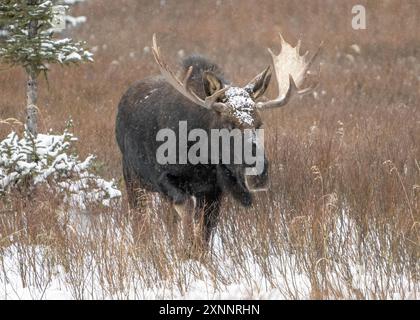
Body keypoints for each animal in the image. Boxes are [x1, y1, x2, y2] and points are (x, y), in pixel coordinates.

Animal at [116, 33, 320, 245]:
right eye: (228, 124)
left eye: (259, 124)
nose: (258, 175)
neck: (201, 158)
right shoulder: (164, 178)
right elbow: (187, 215)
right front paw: (185, 246)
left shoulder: (213, 191)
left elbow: (204, 235)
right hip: (132, 176)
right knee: (140, 220)